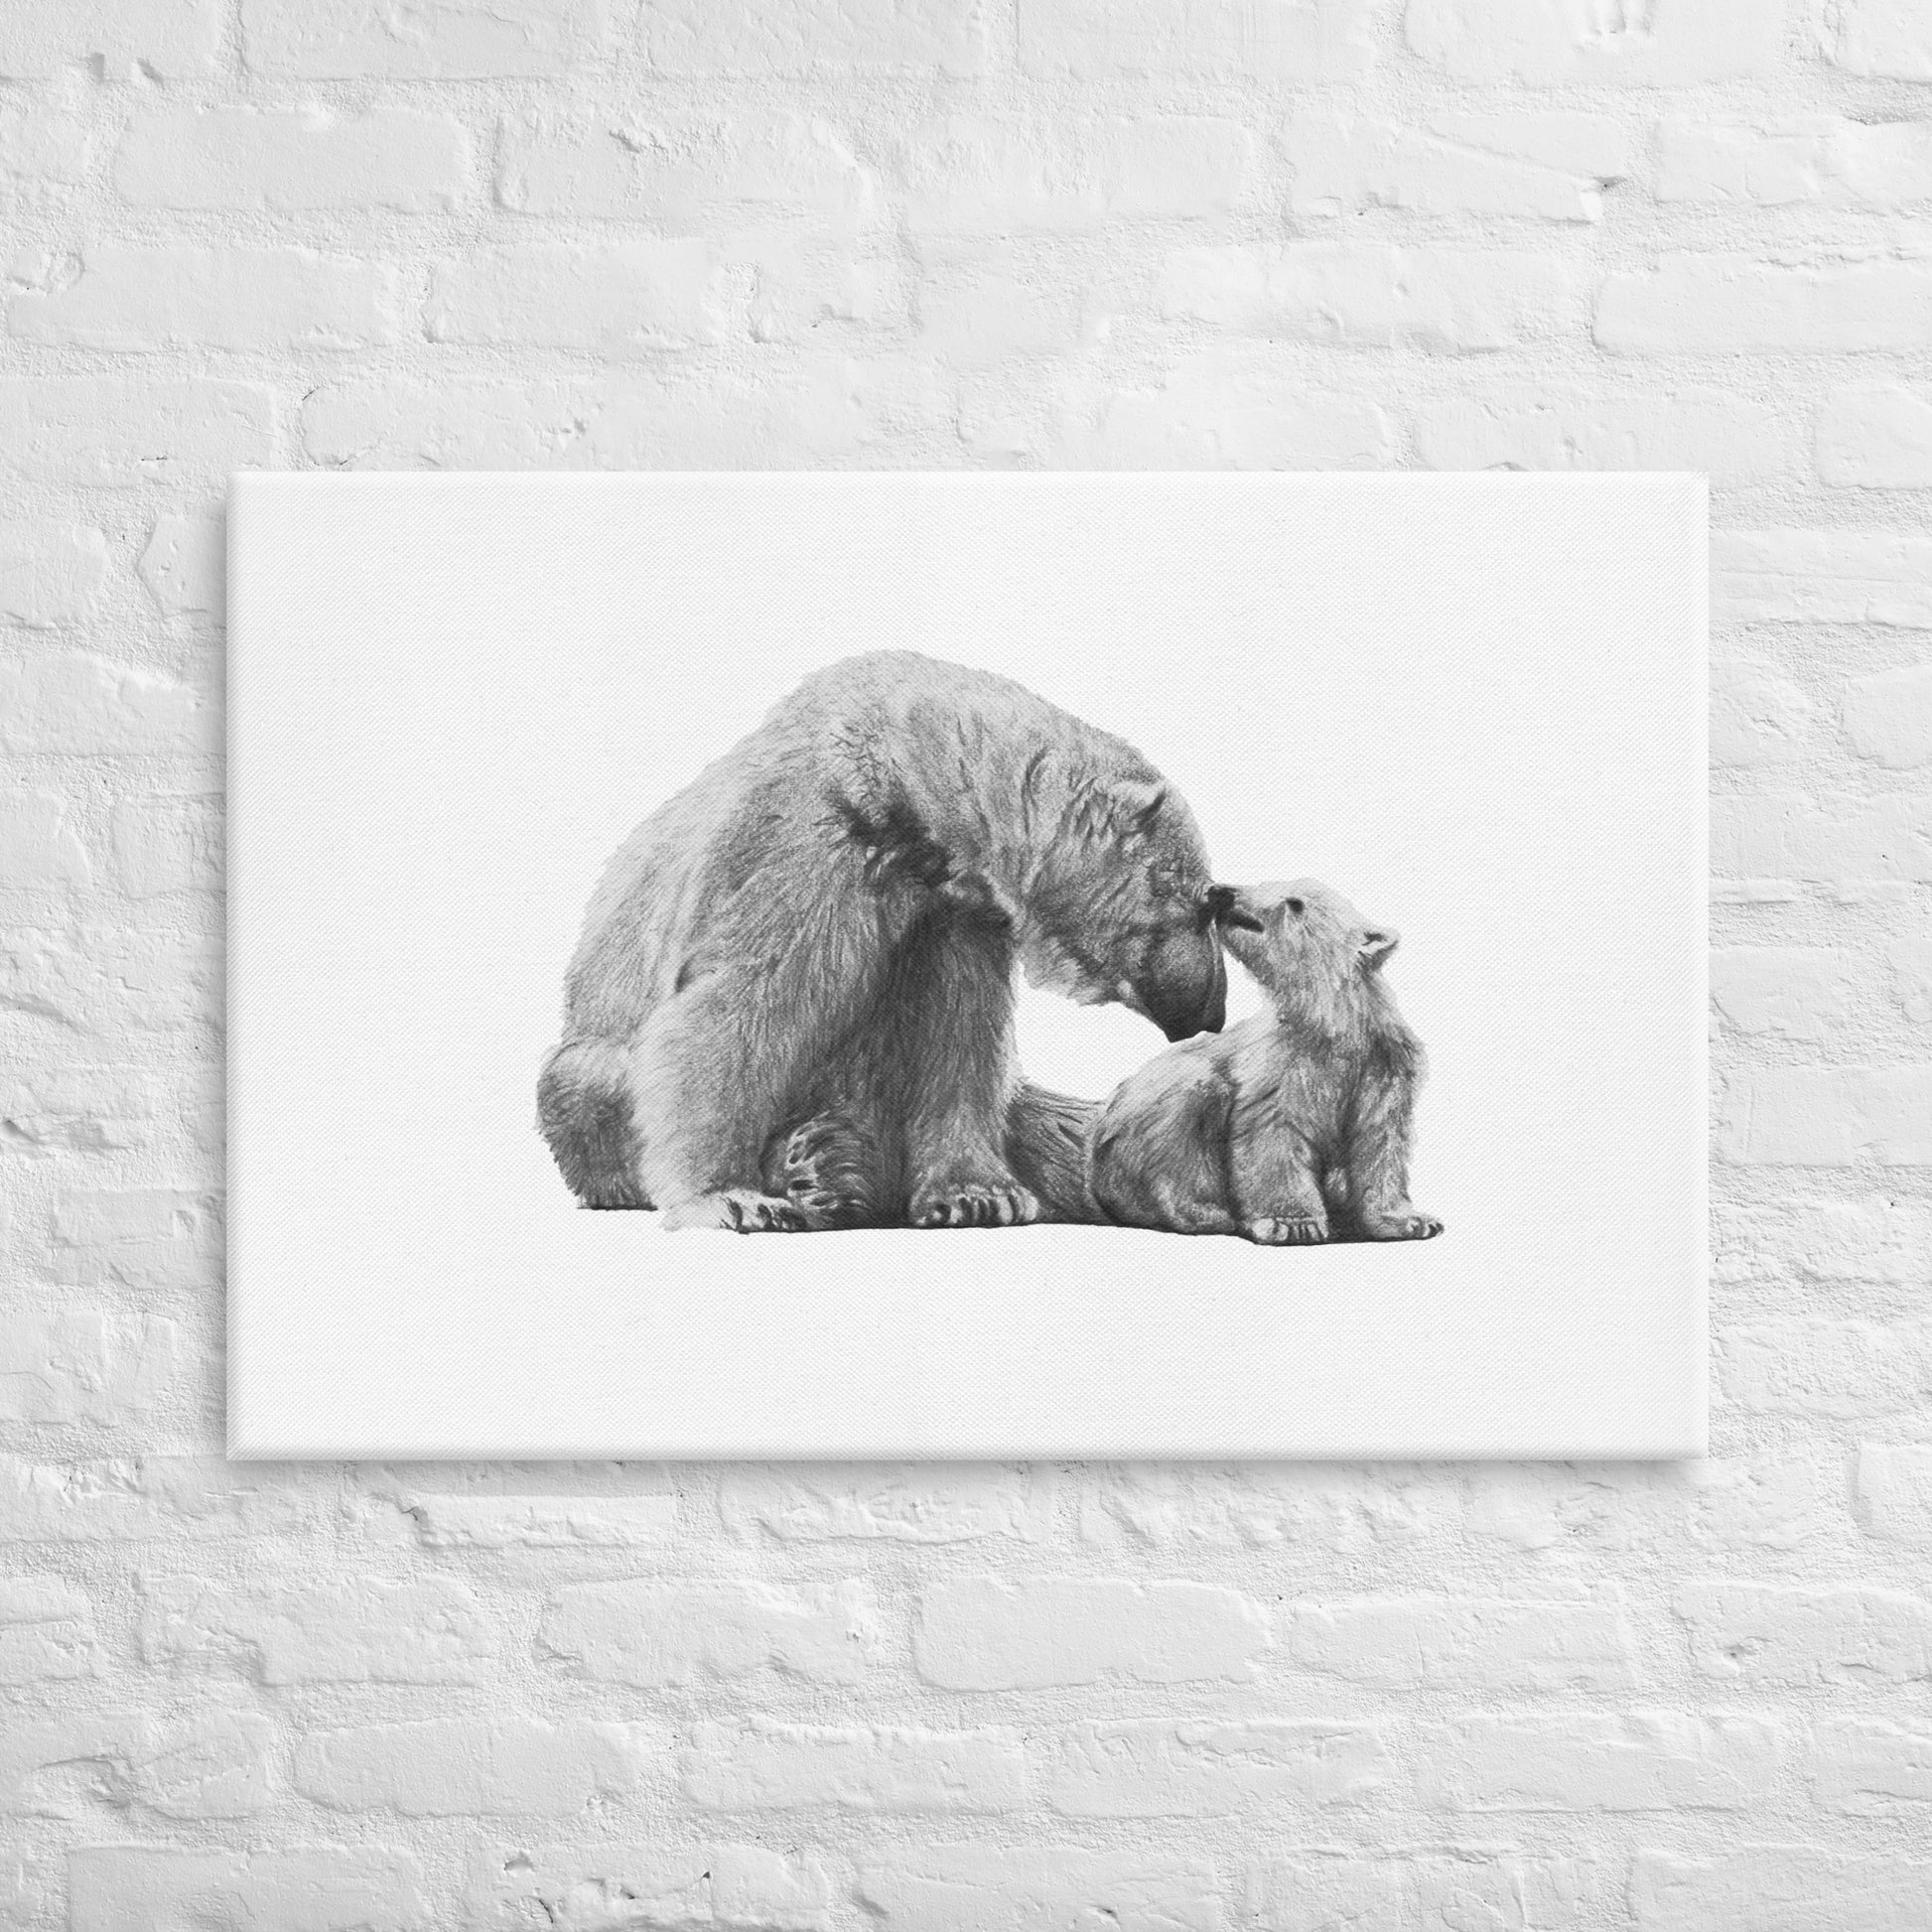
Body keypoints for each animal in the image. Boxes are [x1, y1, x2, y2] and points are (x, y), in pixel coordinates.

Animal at [538, 650, 1232, 1232]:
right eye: (1202, 901)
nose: (1211, 1013)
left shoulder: (953, 913)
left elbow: (959, 1037)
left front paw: (977, 1195)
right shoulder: (808, 846)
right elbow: (737, 1007)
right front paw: (730, 1197)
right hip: (591, 1073)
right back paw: (811, 1167)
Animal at [1089, 879, 1442, 1245]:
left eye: (1294, 902)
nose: (1222, 891)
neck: (1334, 1025)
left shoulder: (1383, 1064)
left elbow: (1380, 1140)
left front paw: (1412, 1221)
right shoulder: (1281, 1065)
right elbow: (1273, 1132)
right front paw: (1294, 1223)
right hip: (1141, 1122)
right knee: (1190, 1107)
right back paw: (1203, 1212)